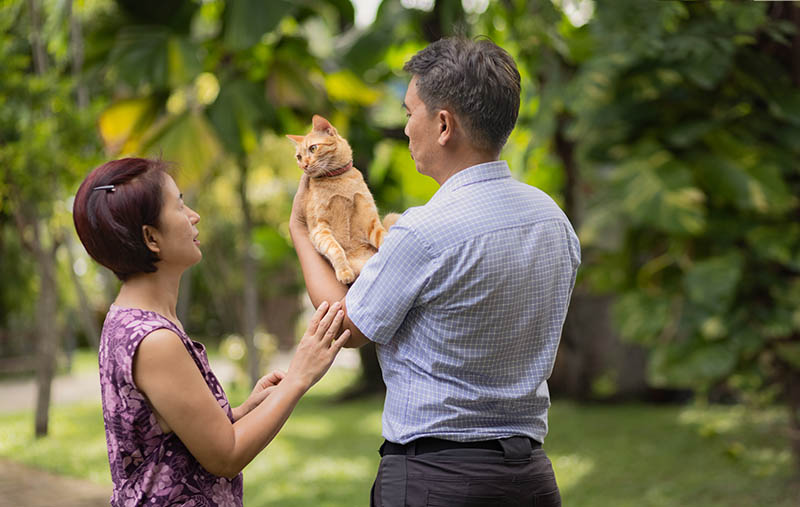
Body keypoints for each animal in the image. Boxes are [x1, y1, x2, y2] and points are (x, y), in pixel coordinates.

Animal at [290, 114, 398, 286]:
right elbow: (335, 248)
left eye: (313, 148)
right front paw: (344, 272)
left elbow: (384, 237)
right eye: (299, 157)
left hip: (391, 217)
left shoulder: (370, 221)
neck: (338, 180)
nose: (304, 165)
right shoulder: (319, 229)